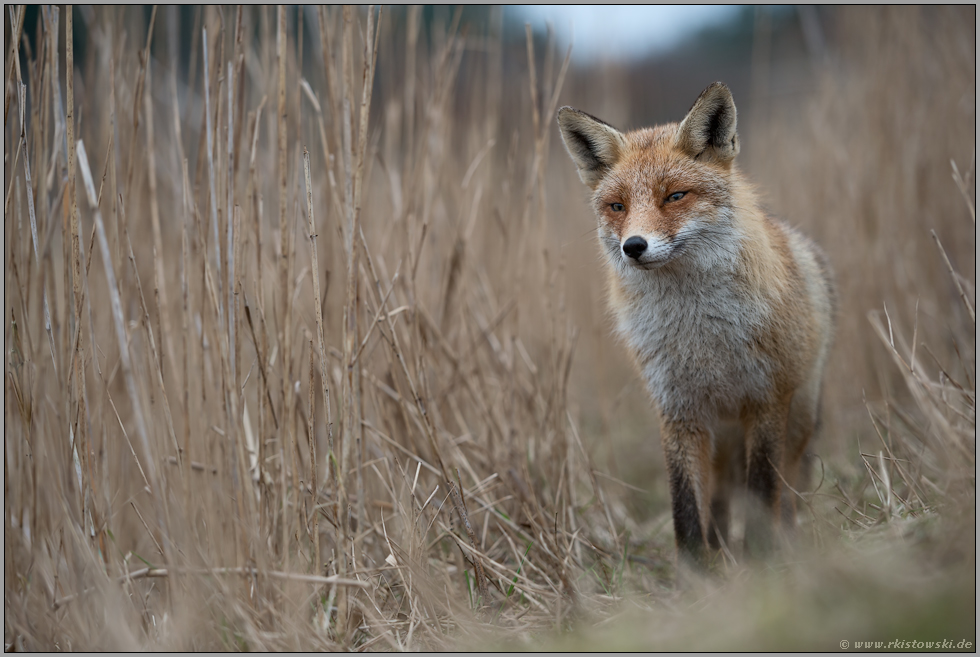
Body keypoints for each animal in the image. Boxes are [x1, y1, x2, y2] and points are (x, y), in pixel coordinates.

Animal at [560, 80, 836, 564]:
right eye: (618, 206)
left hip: (797, 422)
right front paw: (696, 574)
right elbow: (686, 508)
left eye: (675, 196)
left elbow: (762, 492)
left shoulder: (765, 401)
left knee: (785, 494)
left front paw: (763, 563)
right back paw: (722, 552)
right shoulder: (677, 409)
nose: (634, 246)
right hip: (720, 438)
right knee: (721, 500)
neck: (700, 336)